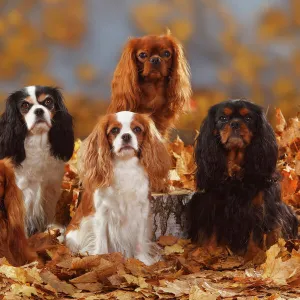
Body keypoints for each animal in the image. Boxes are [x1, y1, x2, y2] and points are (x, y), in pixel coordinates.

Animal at [0, 85, 74, 236]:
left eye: (48, 102)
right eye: (24, 105)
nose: (39, 110)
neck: (38, 142)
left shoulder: (50, 187)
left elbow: (49, 211)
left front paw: (52, 230)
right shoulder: (21, 189)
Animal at [65, 110, 171, 264]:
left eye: (137, 129)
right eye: (114, 130)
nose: (126, 136)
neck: (125, 165)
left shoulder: (141, 211)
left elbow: (139, 241)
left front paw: (142, 261)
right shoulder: (102, 214)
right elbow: (101, 241)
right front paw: (101, 259)